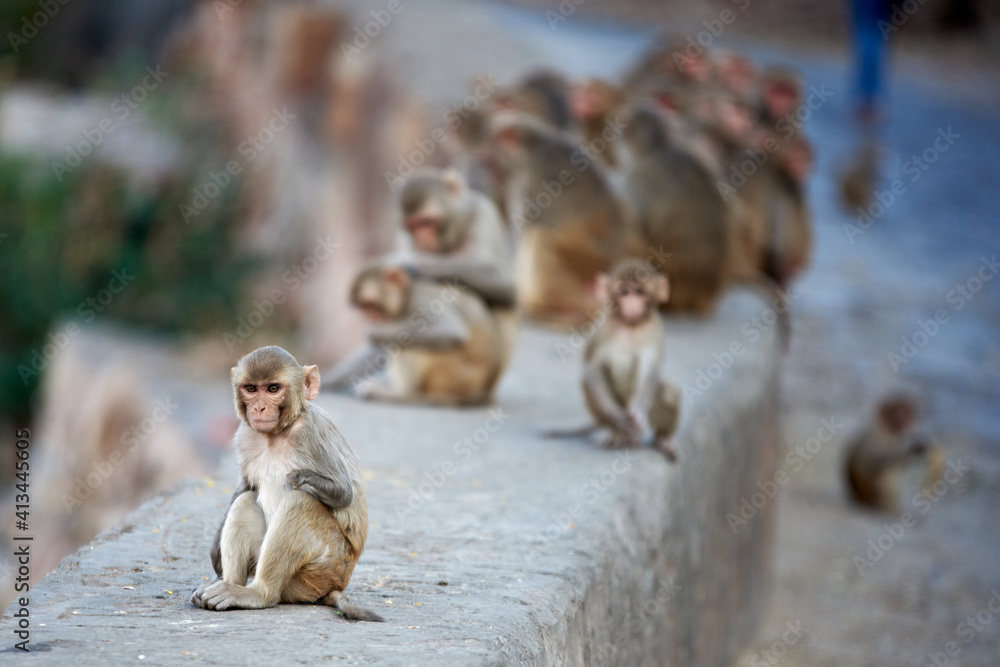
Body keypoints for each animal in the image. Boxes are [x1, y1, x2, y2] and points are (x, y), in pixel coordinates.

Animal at [191, 346, 383, 622]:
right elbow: (247, 488)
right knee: (246, 502)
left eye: (273, 389)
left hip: (324, 569)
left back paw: (258, 594)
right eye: (251, 389)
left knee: (301, 502)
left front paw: (299, 479)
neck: (276, 435)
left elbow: (344, 493)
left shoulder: (309, 432)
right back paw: (230, 584)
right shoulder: (245, 435)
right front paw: (215, 556)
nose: (259, 408)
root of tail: (335, 587)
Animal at [348, 262, 504, 405]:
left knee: (406, 344)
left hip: (454, 375)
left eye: (370, 305)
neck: (408, 296)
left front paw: (373, 333)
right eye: (362, 307)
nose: (369, 317)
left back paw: (407, 394)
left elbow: (451, 330)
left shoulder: (422, 303)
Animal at [489, 111, 642, 326]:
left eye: (490, 159)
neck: (532, 144)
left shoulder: (530, 182)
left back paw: (545, 307)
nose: (491, 174)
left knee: (538, 236)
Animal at [545, 260, 681, 461]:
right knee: (588, 386)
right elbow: (592, 368)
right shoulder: (600, 329)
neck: (629, 325)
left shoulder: (654, 329)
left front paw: (639, 413)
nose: (632, 304)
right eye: (623, 292)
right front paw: (618, 419)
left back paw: (663, 439)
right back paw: (617, 434)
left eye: (640, 292)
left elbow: (650, 369)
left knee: (669, 392)